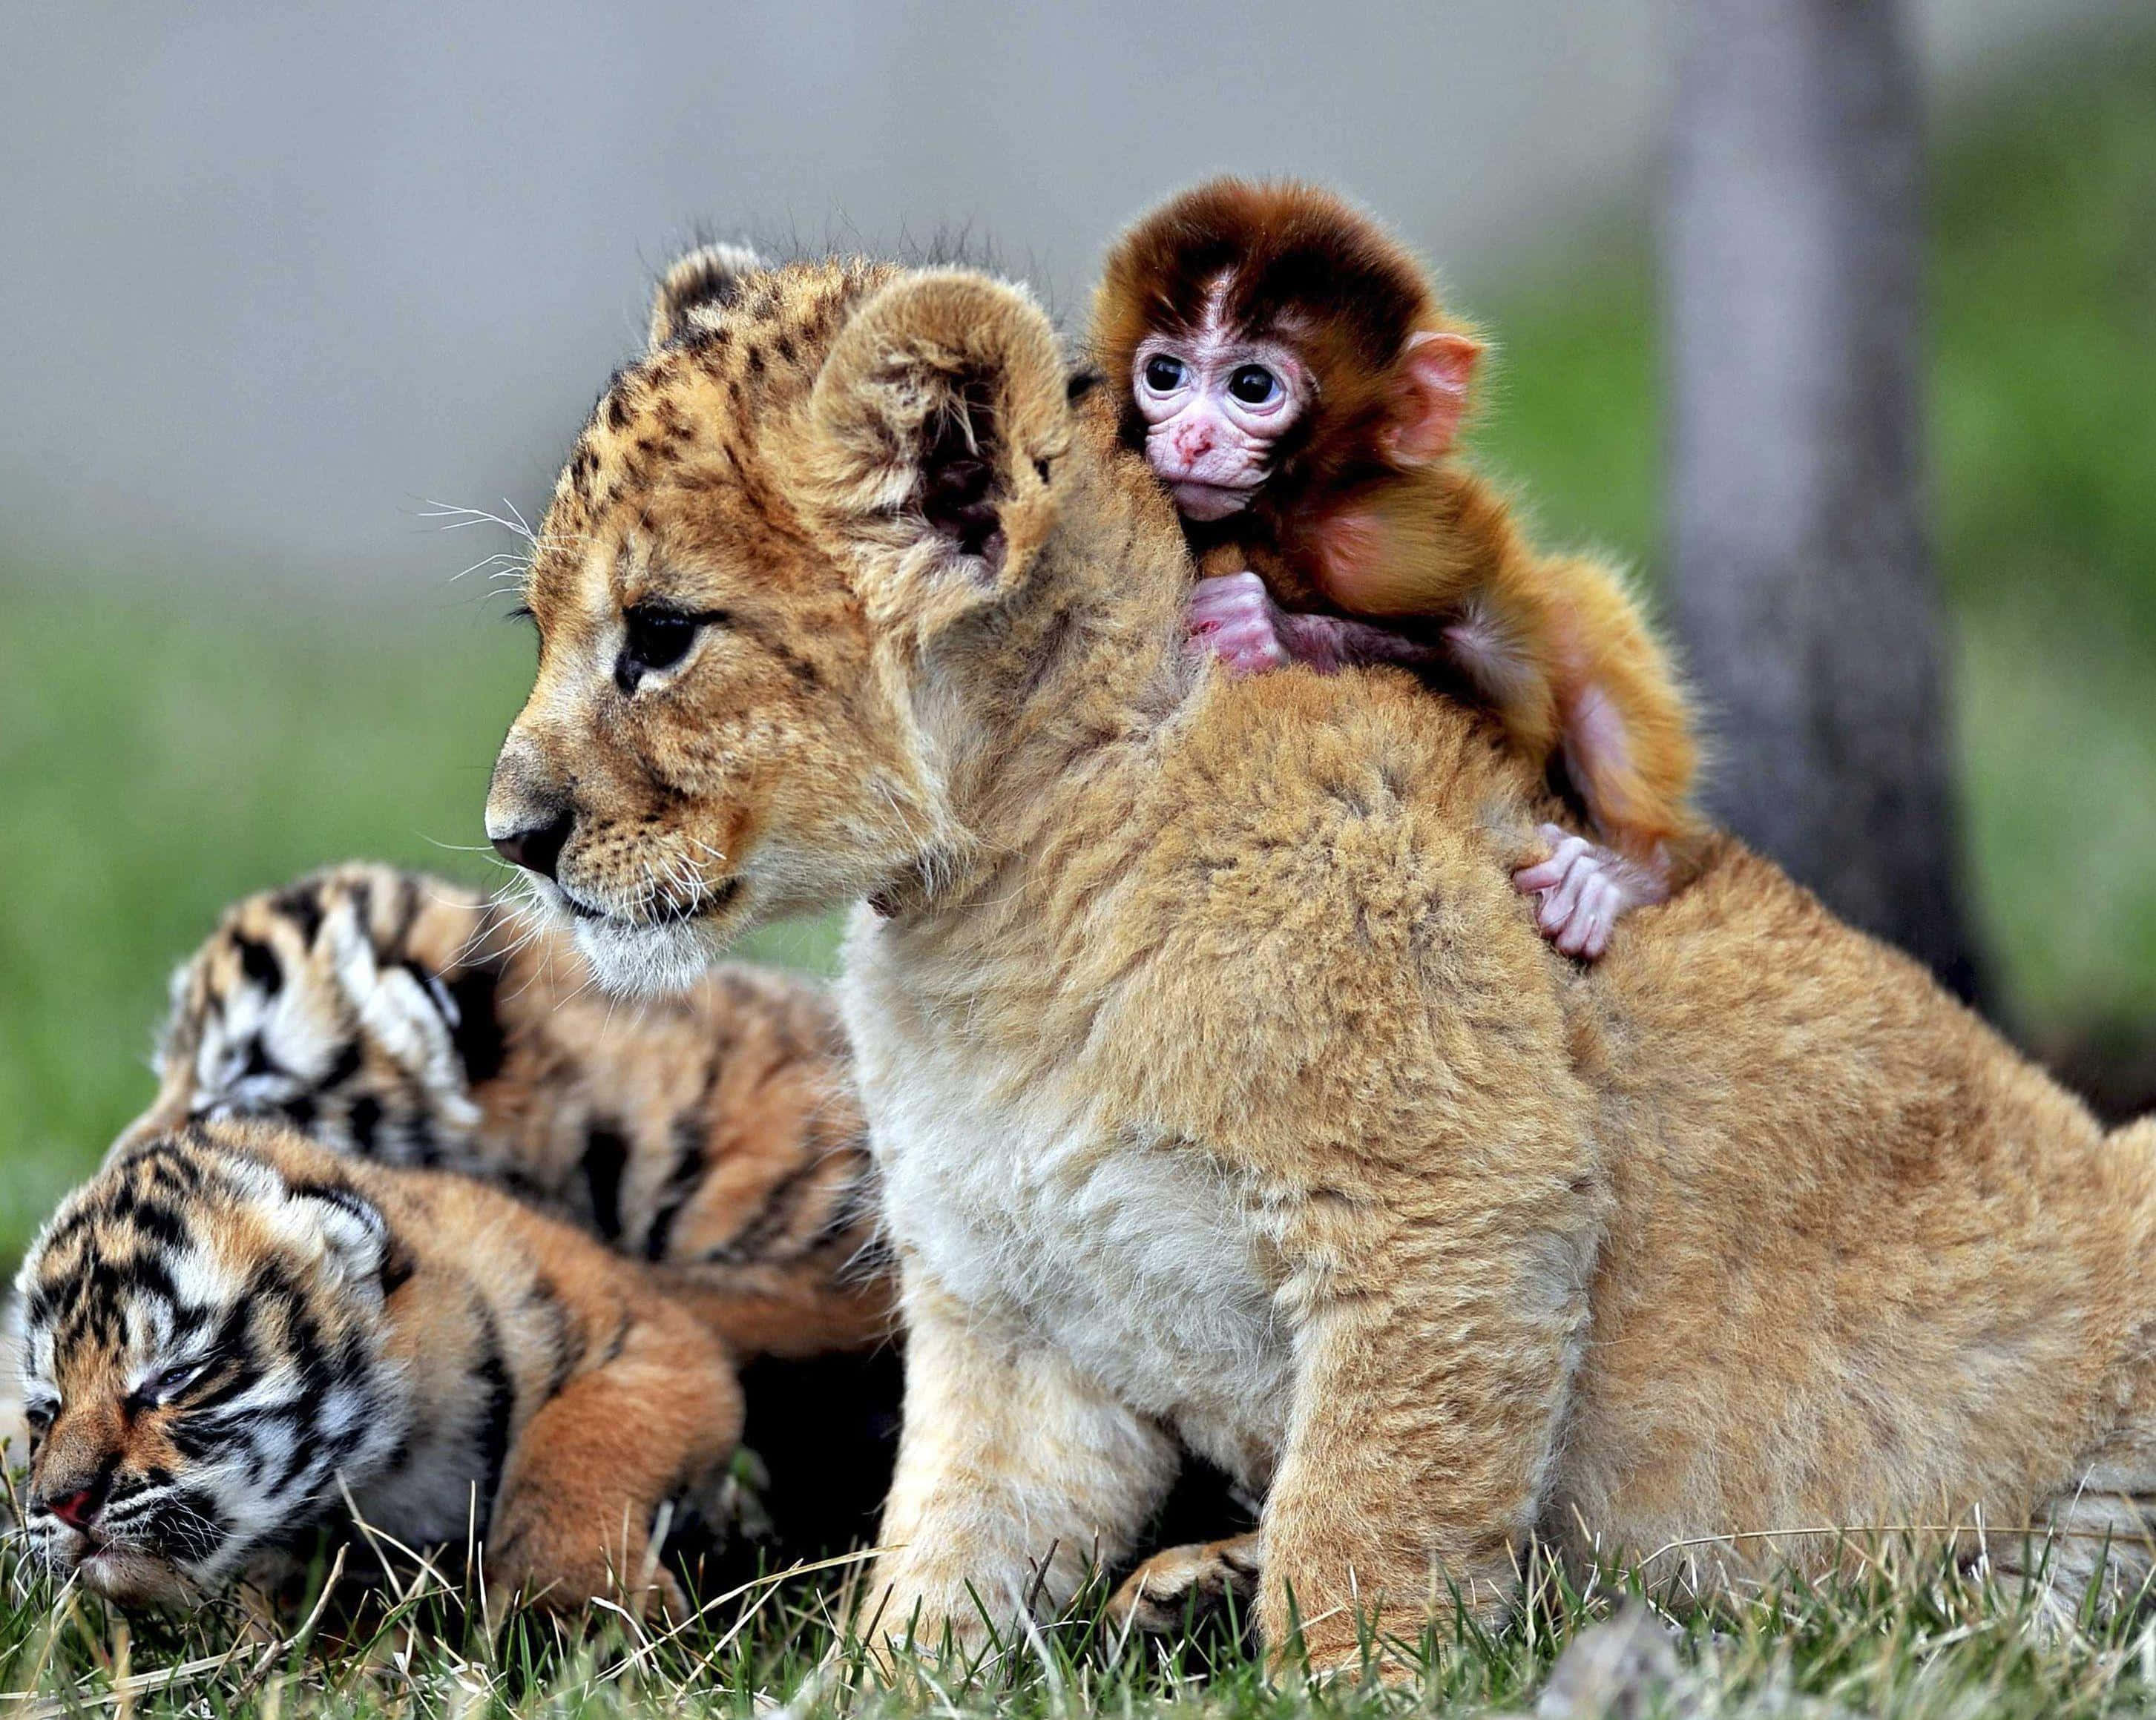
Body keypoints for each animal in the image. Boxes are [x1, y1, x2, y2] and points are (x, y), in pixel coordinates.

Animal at [12, 1118, 741, 1616]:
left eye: (173, 1378)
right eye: (46, 1409)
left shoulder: (659, 1340)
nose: (63, 1505)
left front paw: (594, 1609)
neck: (394, 1471)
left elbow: (583, 1438)